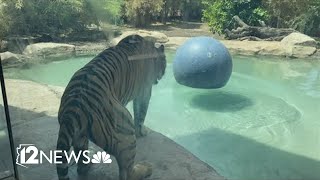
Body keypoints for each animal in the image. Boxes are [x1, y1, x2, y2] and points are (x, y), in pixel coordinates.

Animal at [56, 34, 168, 180]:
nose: (163, 73)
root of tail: (71, 108)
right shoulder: (145, 92)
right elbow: (141, 114)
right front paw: (143, 132)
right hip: (126, 131)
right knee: (128, 172)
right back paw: (147, 168)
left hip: (80, 137)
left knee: (81, 162)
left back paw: (88, 164)